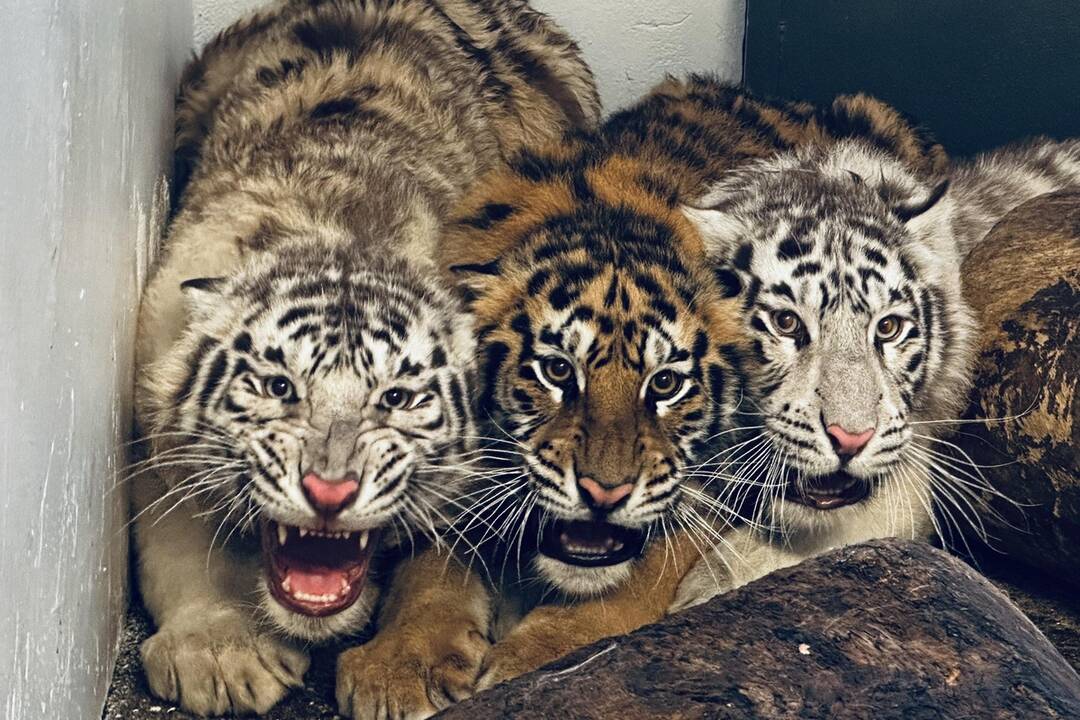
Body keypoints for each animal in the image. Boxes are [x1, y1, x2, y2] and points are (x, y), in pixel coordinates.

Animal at [132, 0, 599, 715]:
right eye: (278, 388)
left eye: (398, 399)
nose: (330, 491)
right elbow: (176, 536)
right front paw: (219, 652)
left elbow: (439, 558)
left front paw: (406, 665)